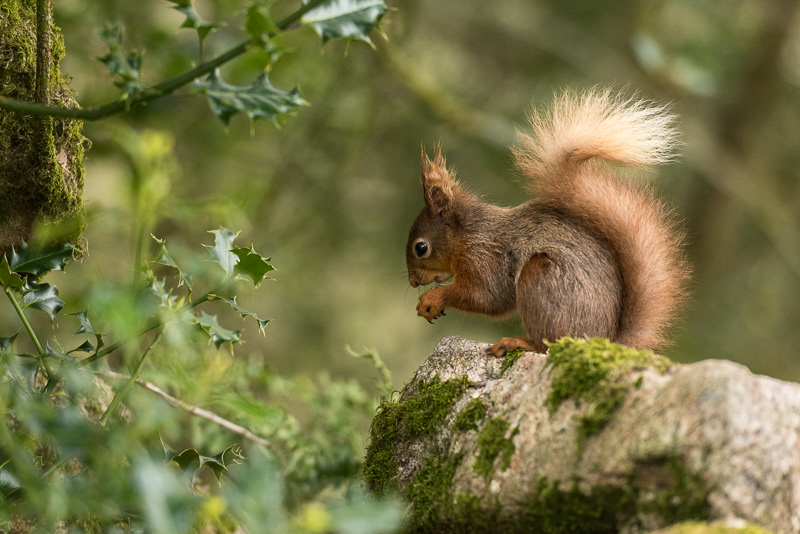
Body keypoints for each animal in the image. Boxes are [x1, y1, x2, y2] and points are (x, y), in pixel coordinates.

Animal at [406, 88, 689, 357]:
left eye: (421, 248)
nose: (413, 283)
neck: (470, 234)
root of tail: (603, 342)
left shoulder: (487, 259)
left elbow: (487, 297)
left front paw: (432, 299)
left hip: (541, 278)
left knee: (546, 346)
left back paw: (518, 343)